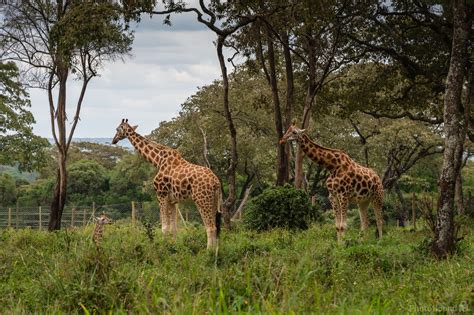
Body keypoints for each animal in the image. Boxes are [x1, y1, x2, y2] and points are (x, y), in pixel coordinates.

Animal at [111, 118, 222, 249]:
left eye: (117, 129)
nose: (113, 140)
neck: (157, 160)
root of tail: (216, 182)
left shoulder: (161, 195)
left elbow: (164, 227)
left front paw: (162, 248)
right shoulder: (172, 200)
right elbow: (173, 228)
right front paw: (173, 247)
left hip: (202, 199)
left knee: (210, 227)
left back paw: (208, 251)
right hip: (214, 200)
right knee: (215, 227)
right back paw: (216, 250)